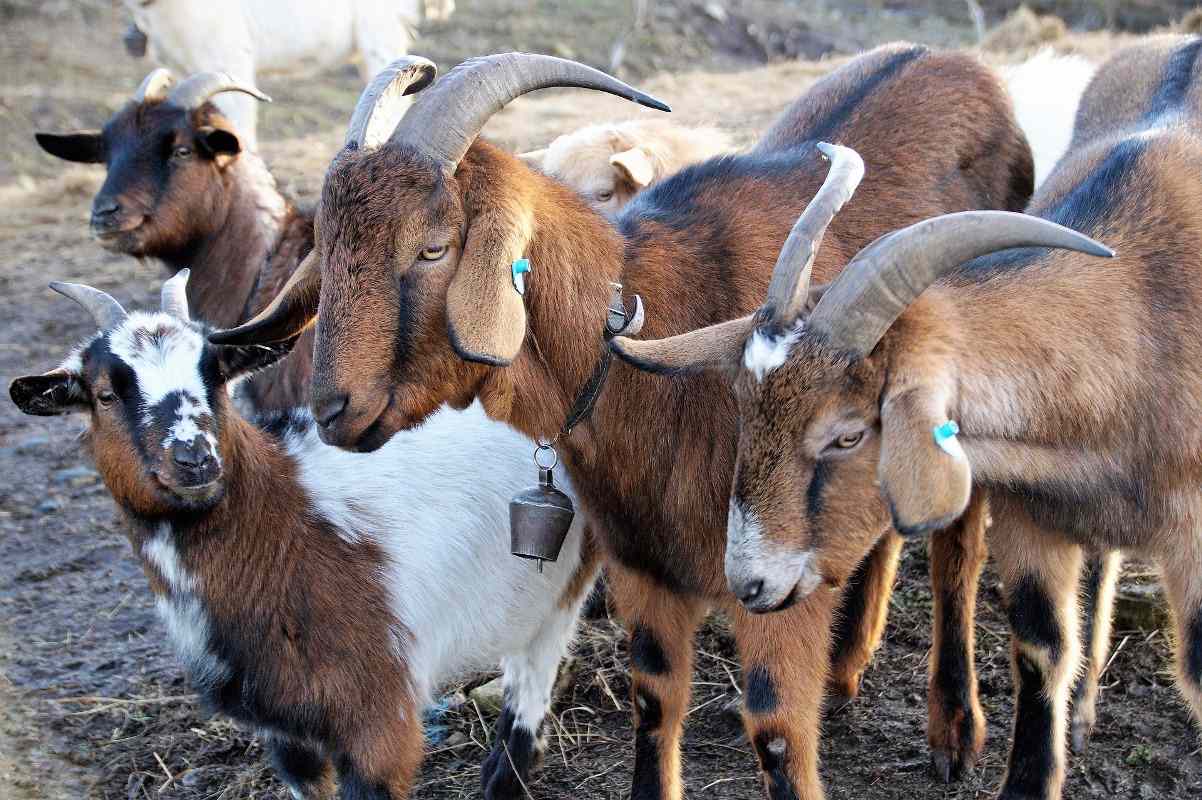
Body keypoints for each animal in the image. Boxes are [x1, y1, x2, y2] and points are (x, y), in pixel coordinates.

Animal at [9, 271, 597, 800]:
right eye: (106, 394)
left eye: (215, 376)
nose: (195, 458)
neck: (292, 525)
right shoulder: (282, 728)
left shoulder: (378, 716)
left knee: (536, 675)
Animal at [610, 33, 1202, 800]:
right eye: (742, 408)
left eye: (848, 433)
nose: (748, 583)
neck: (1140, 319)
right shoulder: (1032, 515)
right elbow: (1041, 647)